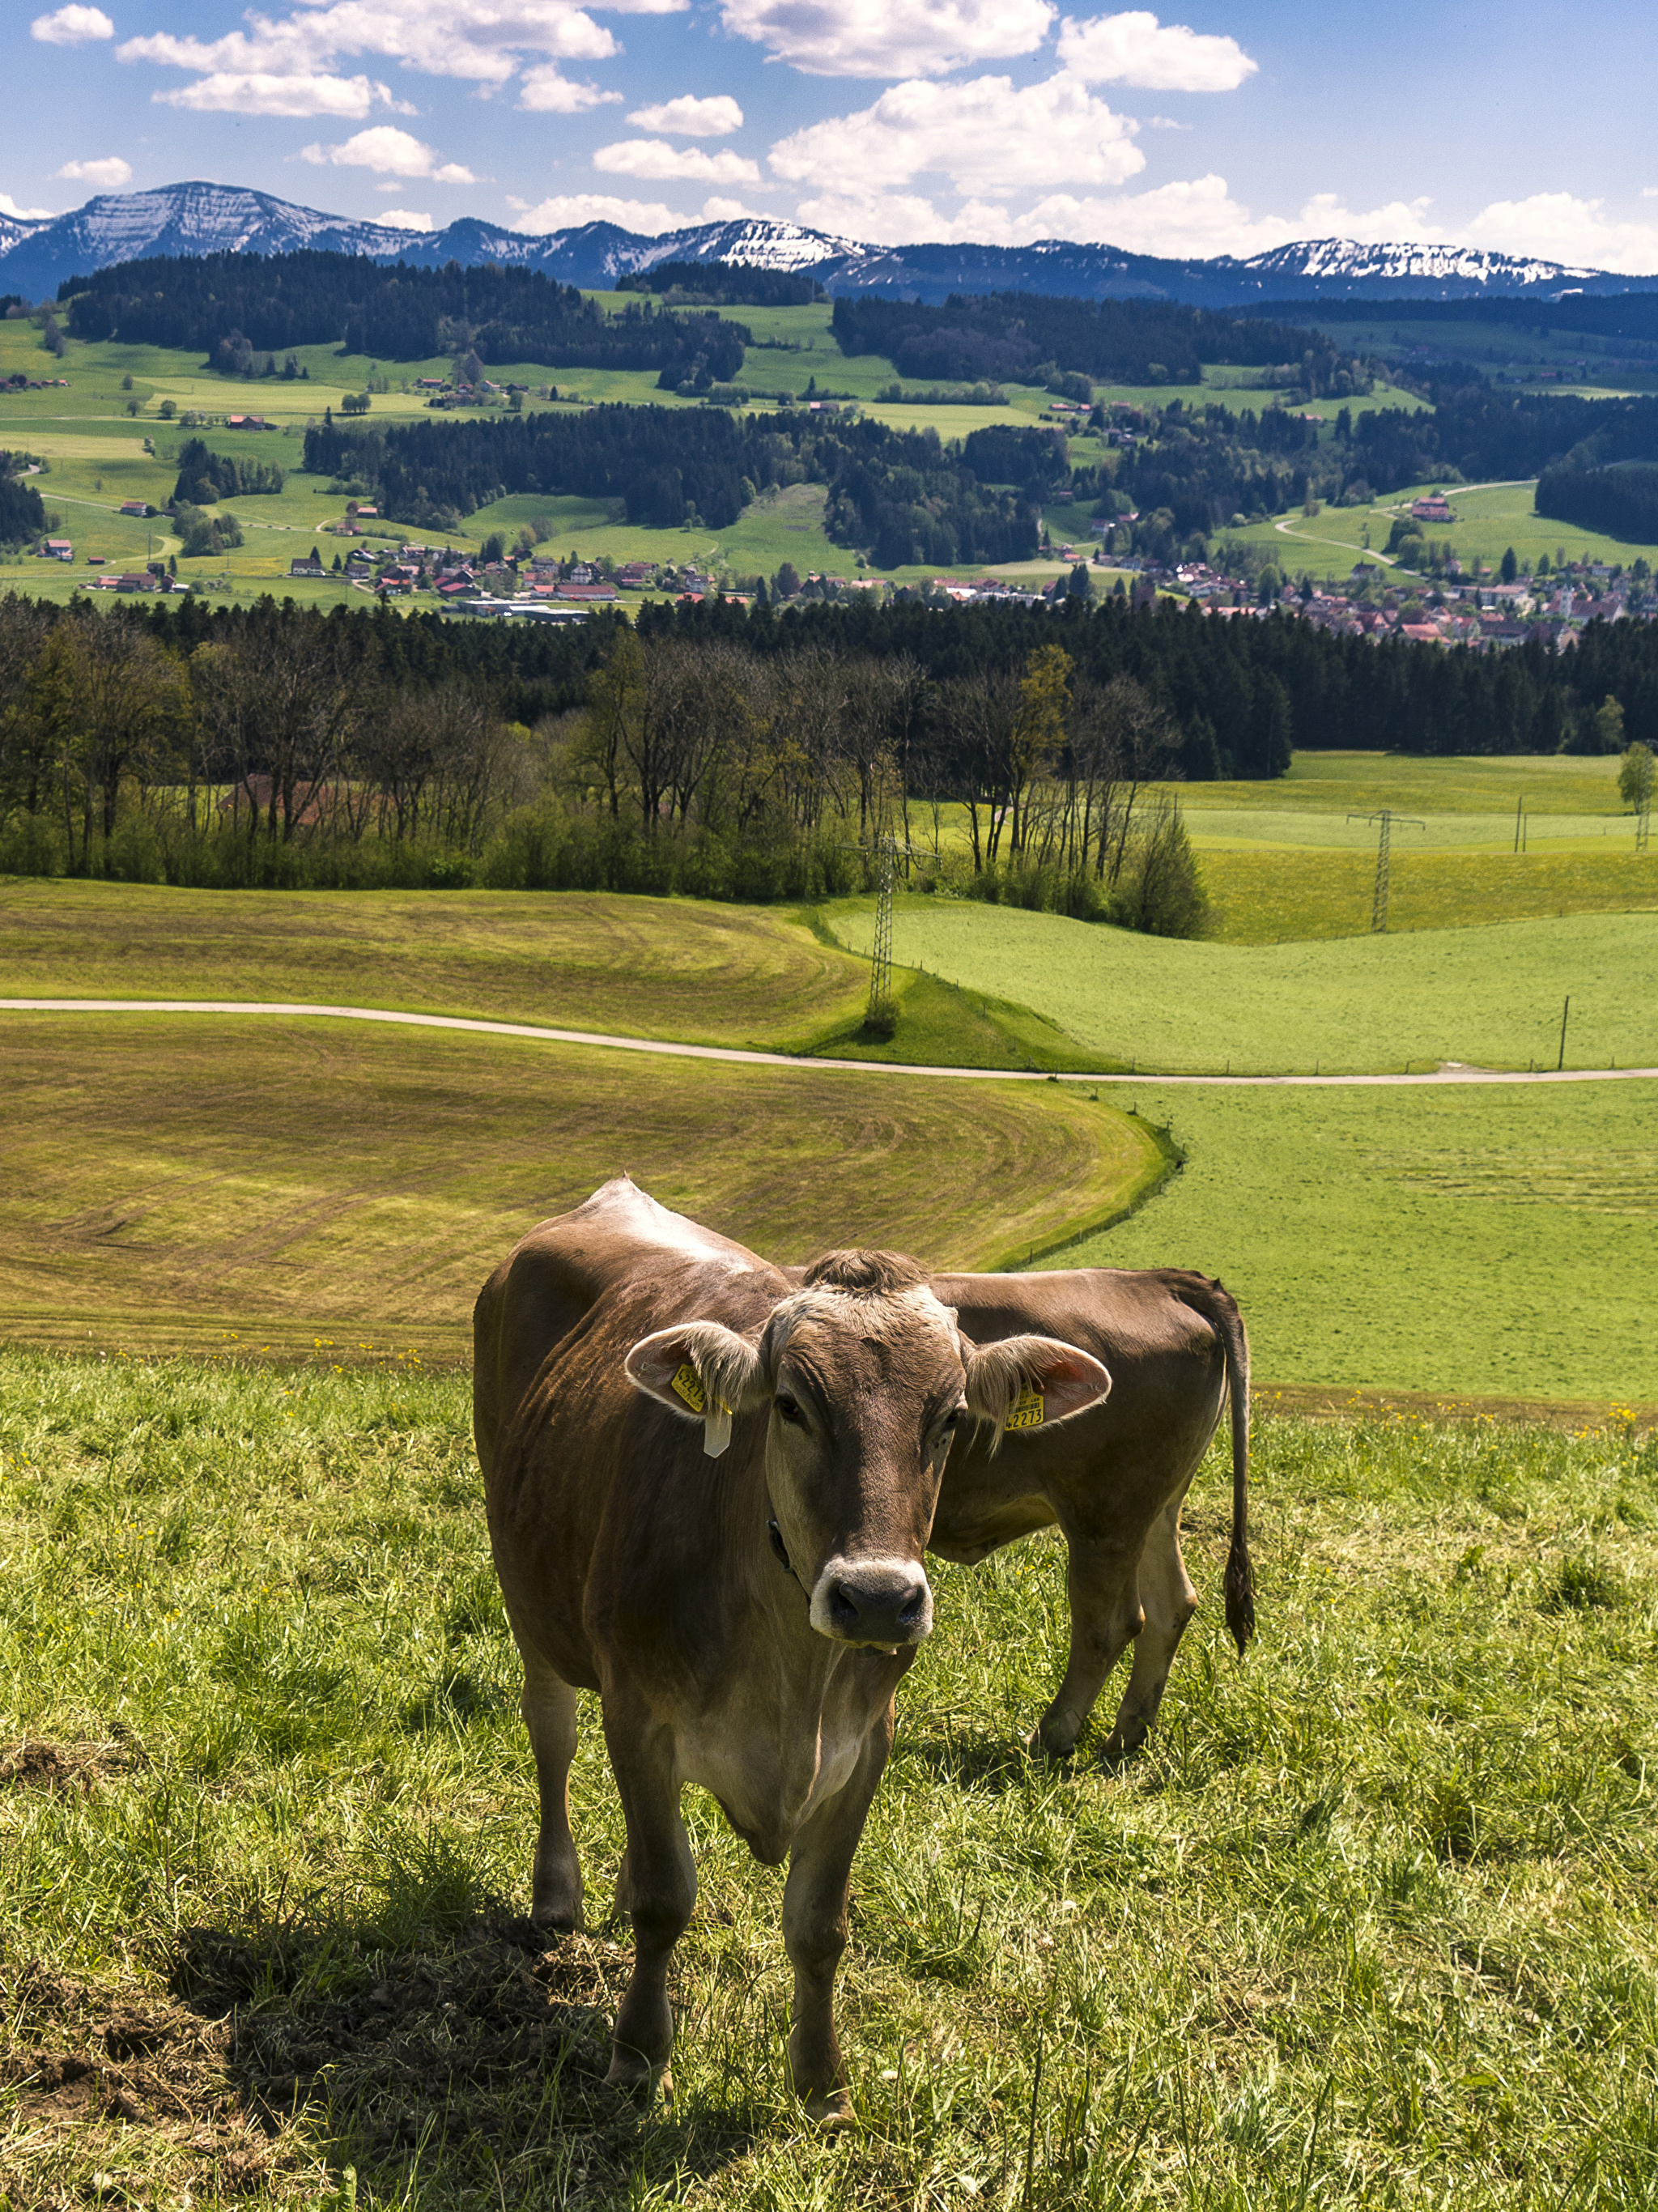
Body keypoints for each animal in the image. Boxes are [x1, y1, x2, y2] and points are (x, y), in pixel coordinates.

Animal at [473, 1185, 1109, 2114]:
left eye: (952, 1416)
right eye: (791, 1405)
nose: (877, 1597)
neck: (791, 1672)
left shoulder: (865, 1742)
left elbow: (818, 1924)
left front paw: (821, 2083)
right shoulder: (637, 1714)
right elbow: (665, 1900)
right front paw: (638, 2052)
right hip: (530, 1599)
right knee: (551, 1734)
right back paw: (559, 1896)